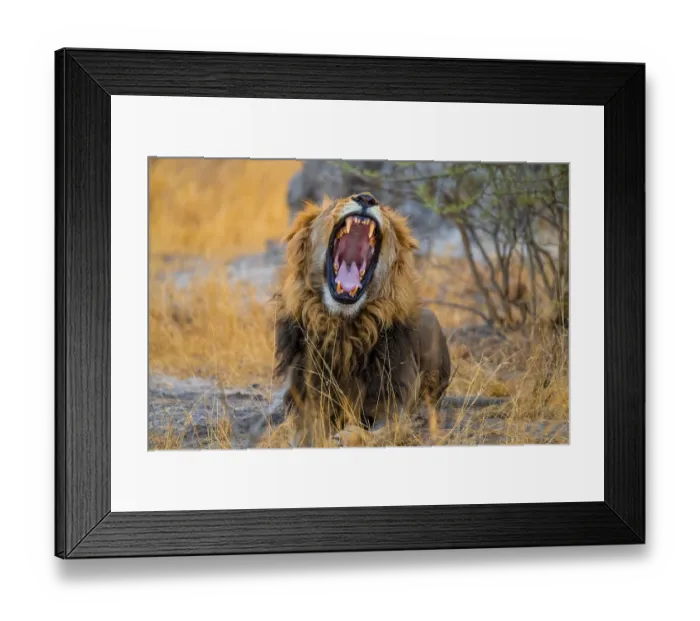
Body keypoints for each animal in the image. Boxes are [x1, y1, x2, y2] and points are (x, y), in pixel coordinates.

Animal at [272, 192, 451, 447]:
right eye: (335, 205)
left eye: (384, 210)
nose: (366, 198)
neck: (344, 328)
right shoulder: (303, 399)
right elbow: (300, 431)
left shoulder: (393, 401)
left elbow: (390, 430)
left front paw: (346, 437)